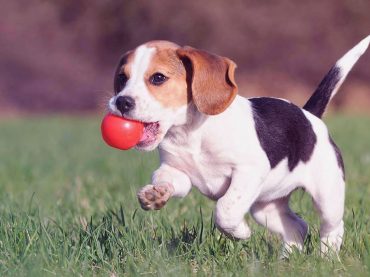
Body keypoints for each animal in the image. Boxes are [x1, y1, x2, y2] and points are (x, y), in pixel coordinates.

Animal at [108, 35, 368, 253]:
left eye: (158, 78)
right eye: (122, 77)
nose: (121, 102)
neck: (190, 133)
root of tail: (309, 115)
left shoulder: (249, 171)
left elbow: (225, 210)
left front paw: (240, 233)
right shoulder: (176, 171)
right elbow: (166, 179)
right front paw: (155, 194)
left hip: (327, 196)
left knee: (332, 228)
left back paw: (327, 257)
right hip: (266, 207)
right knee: (298, 227)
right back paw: (287, 259)